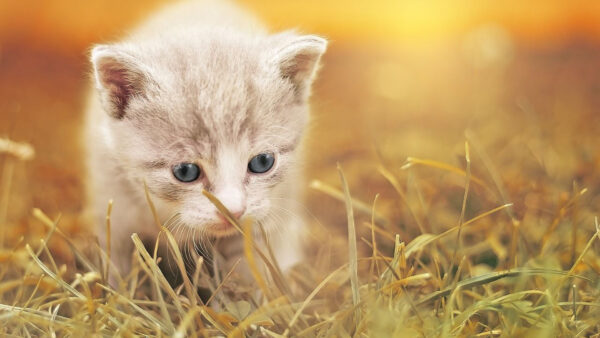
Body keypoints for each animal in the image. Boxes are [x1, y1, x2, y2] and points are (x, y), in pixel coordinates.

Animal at [84, 0, 326, 282]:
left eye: (262, 162)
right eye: (185, 171)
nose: (233, 211)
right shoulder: (113, 202)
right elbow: (117, 256)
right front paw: (116, 286)